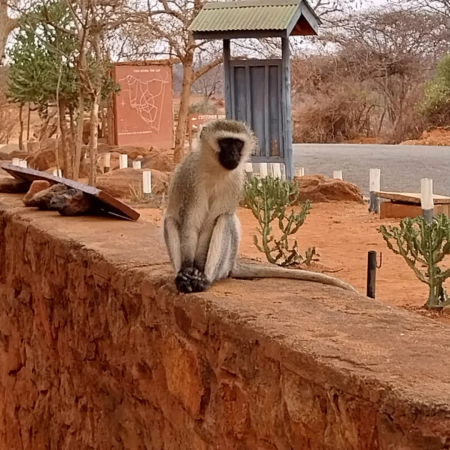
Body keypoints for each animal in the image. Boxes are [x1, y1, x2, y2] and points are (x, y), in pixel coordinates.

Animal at [163, 118, 358, 294]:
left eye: (238, 143)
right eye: (225, 142)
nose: (233, 155)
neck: (215, 169)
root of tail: (232, 265)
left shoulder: (235, 182)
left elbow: (209, 225)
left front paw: (197, 272)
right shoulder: (190, 179)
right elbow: (190, 224)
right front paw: (187, 270)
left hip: (224, 264)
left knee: (225, 219)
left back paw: (206, 279)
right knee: (170, 220)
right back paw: (182, 277)